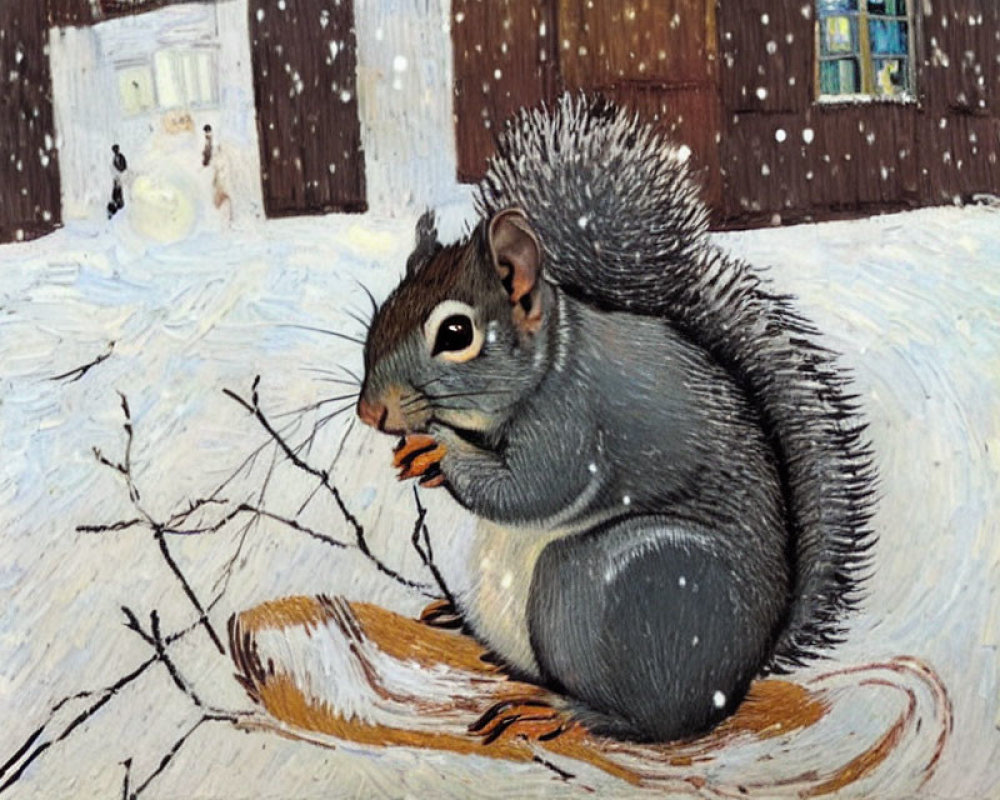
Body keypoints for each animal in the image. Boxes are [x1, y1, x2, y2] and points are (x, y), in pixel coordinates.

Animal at [358, 94, 876, 744]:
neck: (548, 360)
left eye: (455, 333)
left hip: (609, 584)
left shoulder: (574, 417)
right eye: (383, 309)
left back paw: (558, 711)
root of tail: (744, 671)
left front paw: (440, 452)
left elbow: (535, 486)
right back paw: (460, 621)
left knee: (656, 720)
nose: (370, 411)